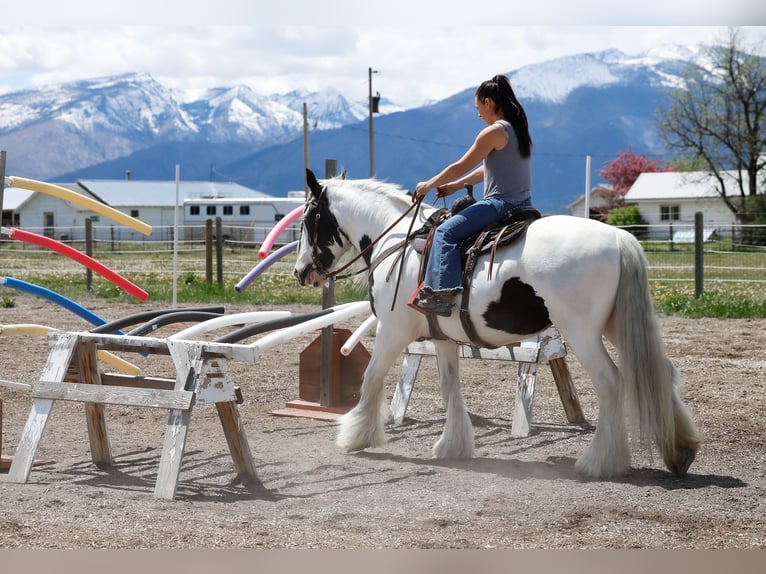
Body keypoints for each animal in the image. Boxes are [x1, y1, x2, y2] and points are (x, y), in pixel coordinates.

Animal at [292, 169, 704, 480]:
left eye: (309, 220)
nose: (300, 272)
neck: (399, 245)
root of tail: (618, 238)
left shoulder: (392, 331)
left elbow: (371, 378)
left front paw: (356, 436)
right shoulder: (442, 338)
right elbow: (449, 385)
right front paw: (453, 444)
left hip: (583, 334)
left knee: (611, 383)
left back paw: (599, 461)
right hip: (614, 325)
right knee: (663, 371)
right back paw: (680, 450)